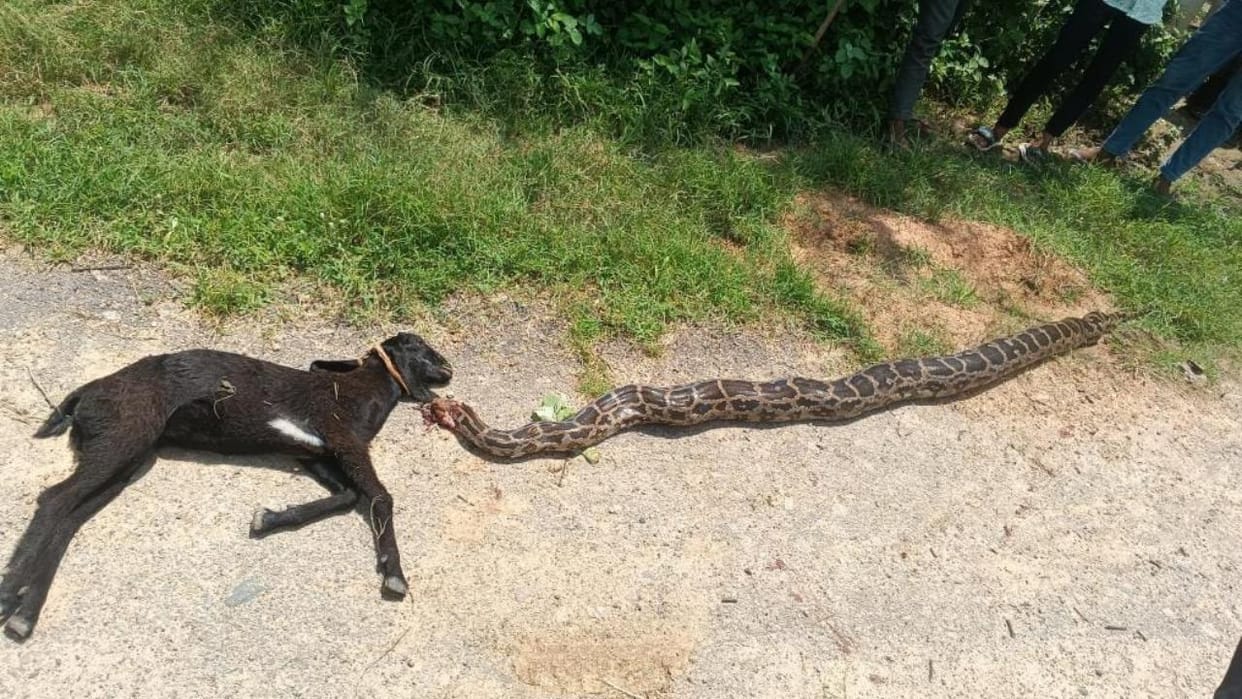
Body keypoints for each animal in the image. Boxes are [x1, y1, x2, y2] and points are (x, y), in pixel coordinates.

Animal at [0, 333, 452, 641]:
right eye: (417, 345)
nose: (449, 368)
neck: (364, 389)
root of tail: (83, 394)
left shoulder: (316, 453)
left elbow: (346, 495)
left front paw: (268, 518)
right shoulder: (343, 437)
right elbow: (378, 496)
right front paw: (394, 574)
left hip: (129, 456)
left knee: (71, 514)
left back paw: (25, 610)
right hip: (123, 436)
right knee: (55, 499)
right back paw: (9, 596)